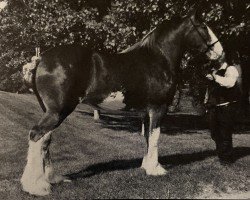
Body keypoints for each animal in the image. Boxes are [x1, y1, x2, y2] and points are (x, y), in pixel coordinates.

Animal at [20, 10, 224, 195]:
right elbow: (155, 137)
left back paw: (52, 179)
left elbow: (147, 137)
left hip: (51, 111)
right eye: (203, 27)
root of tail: (41, 58)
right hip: (58, 111)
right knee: (36, 135)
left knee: (45, 140)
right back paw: (37, 186)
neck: (158, 57)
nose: (221, 55)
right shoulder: (158, 108)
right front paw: (156, 169)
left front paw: (146, 167)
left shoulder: (146, 111)